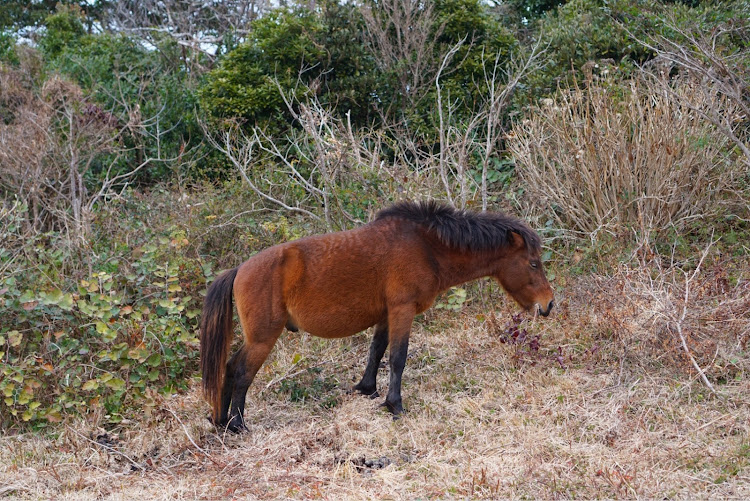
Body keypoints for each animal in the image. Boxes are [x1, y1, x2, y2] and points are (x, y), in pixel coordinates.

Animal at [203, 199, 556, 430]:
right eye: (533, 263)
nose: (549, 304)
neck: (425, 246)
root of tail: (239, 270)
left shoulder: (387, 315)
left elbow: (376, 350)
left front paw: (367, 389)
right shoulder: (403, 310)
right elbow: (398, 357)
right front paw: (395, 405)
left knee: (229, 368)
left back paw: (221, 421)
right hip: (263, 338)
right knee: (242, 372)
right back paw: (238, 424)